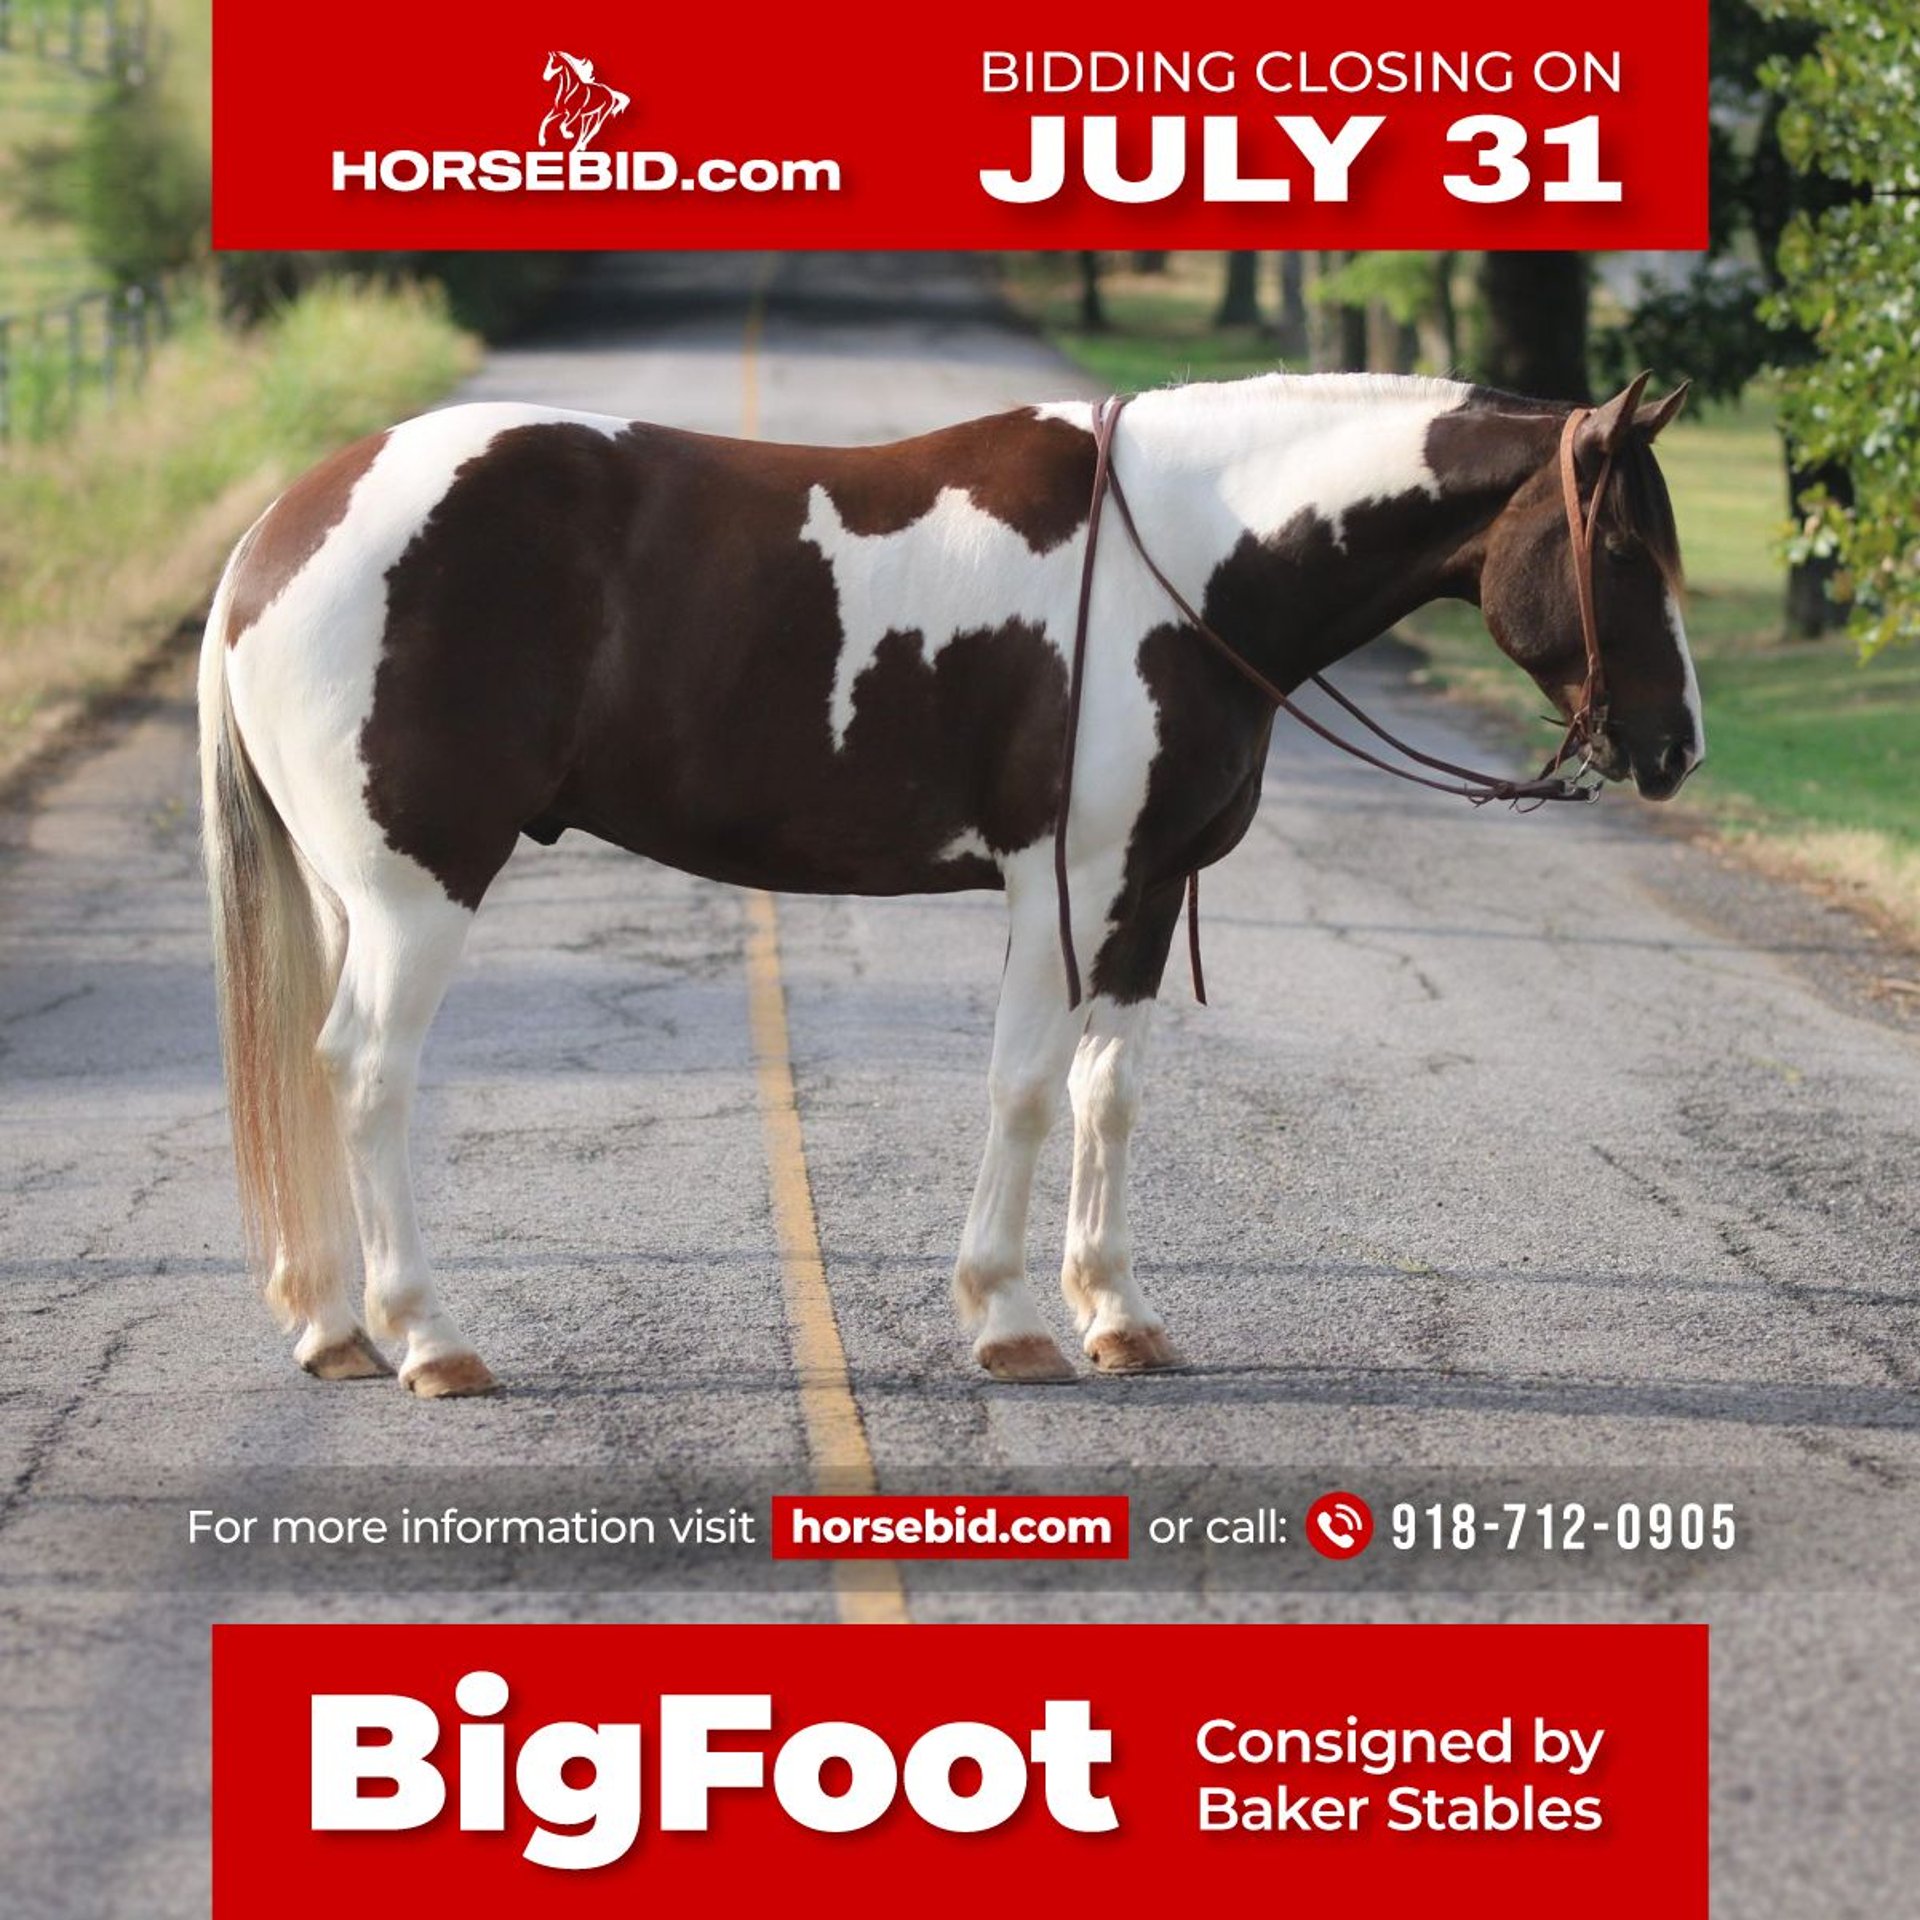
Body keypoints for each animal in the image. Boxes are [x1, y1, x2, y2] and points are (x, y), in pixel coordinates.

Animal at [197, 370, 1700, 1398]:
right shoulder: (1061, 885)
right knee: (366, 1074)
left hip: (351, 895)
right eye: (1625, 551)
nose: (1677, 747)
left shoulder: (1145, 890)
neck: (1186, 564)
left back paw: (332, 1325)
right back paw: (427, 1338)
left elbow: (1109, 1095)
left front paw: (1115, 1315)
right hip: (418, 892)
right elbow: (1026, 1088)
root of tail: (279, 534)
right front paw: (1010, 1317)